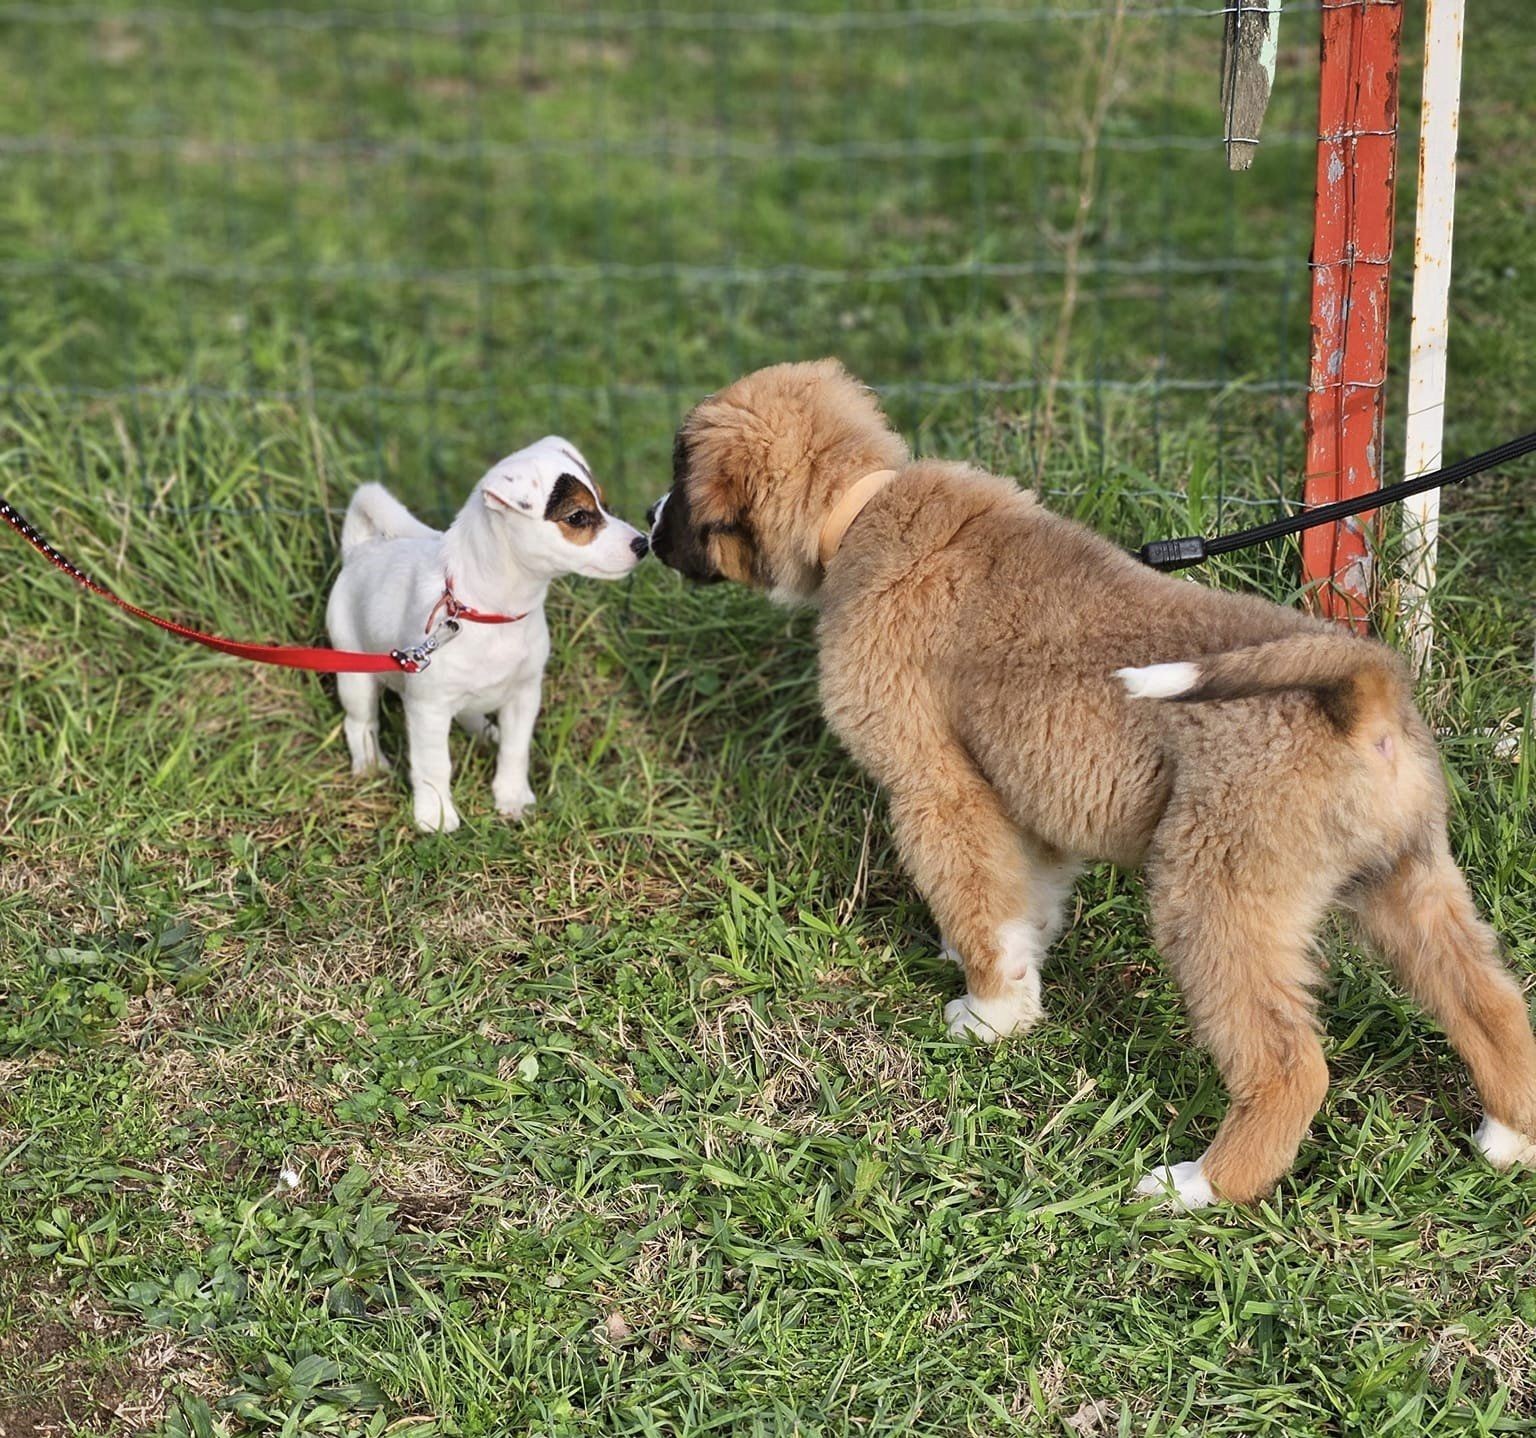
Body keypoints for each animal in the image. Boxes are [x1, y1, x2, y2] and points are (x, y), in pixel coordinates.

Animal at [327, 436, 645, 829]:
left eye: (604, 503)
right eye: (577, 517)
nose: (644, 544)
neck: (493, 615)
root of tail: (360, 549)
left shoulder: (525, 694)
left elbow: (515, 750)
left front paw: (512, 798)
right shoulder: (428, 708)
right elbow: (434, 765)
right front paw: (436, 814)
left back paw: (484, 732)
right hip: (354, 672)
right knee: (360, 723)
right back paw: (370, 766)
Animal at [645, 356, 1536, 1204]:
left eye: (679, 475)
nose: (648, 528)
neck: (859, 506)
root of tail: (1360, 691)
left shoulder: (935, 788)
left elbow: (974, 895)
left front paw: (990, 1013)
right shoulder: (1027, 795)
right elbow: (1017, 899)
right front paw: (1014, 972)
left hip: (1212, 903)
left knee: (1289, 1063)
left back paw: (1200, 1186)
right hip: (1407, 883)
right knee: (1490, 1004)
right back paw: (1510, 1136)